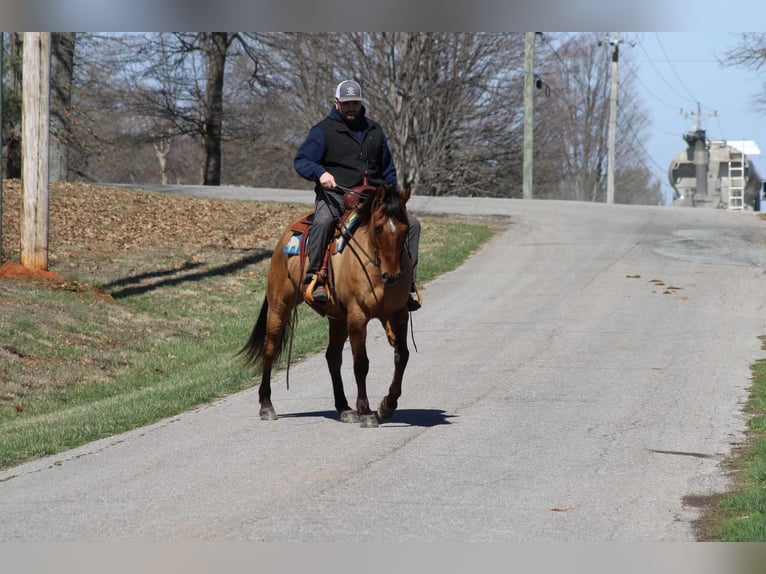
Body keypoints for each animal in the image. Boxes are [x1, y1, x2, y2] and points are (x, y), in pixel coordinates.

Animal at [242, 183, 416, 428]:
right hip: (279, 304)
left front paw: (388, 405)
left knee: (332, 357)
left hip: (337, 318)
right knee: (270, 348)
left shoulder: (397, 314)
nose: (392, 276)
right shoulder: (357, 317)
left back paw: (344, 408)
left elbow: (402, 355)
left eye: (405, 228)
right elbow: (361, 363)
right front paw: (366, 411)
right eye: (378, 228)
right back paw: (266, 405)